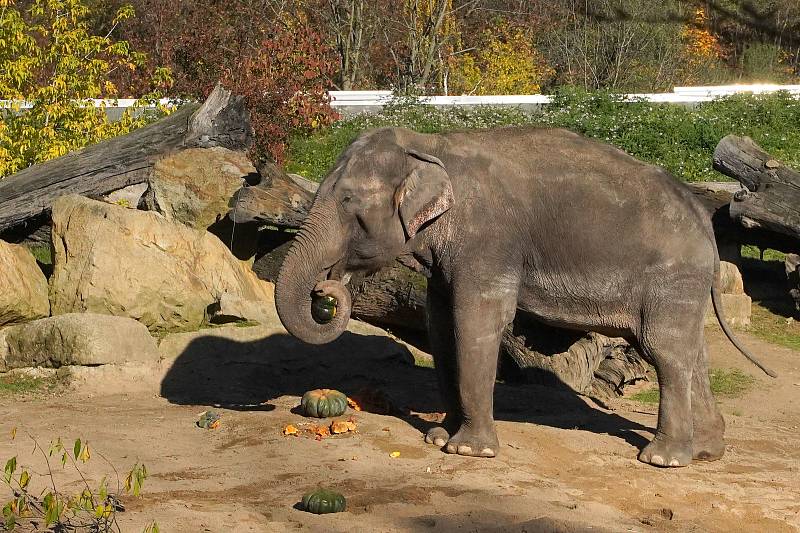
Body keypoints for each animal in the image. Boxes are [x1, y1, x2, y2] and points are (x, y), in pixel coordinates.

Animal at [276, 124, 776, 466]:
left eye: (347, 202)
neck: (433, 143)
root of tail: (705, 221)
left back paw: (662, 458)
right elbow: (441, 325)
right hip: (681, 285)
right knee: (692, 351)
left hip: (672, 277)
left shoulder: (488, 240)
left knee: (665, 350)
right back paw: (706, 451)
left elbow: (476, 320)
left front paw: (469, 451)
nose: (327, 286)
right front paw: (438, 437)